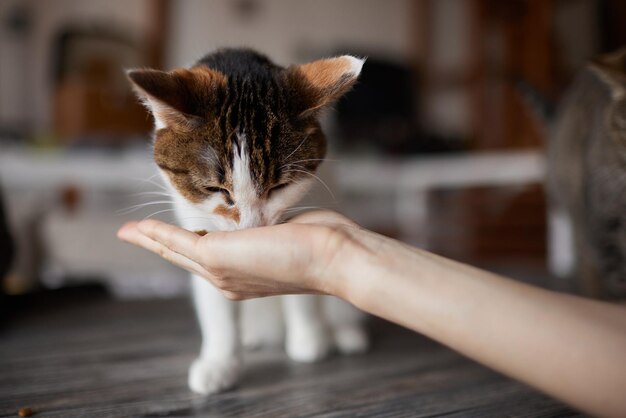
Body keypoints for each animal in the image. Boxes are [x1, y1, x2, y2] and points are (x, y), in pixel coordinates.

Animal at [129, 49, 368, 396]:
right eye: (215, 189)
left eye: (279, 186)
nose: (252, 229)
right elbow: (217, 308)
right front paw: (219, 364)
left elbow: (304, 295)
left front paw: (309, 340)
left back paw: (345, 334)